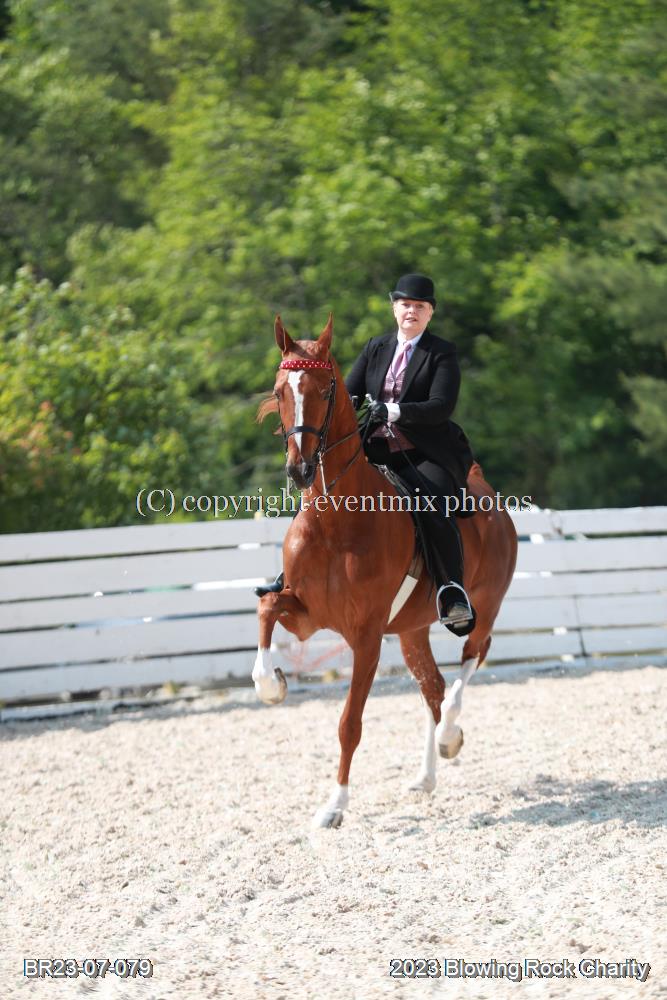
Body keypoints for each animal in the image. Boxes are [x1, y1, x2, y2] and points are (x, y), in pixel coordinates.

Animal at [254, 315, 517, 828]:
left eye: (325, 389)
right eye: (279, 391)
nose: (299, 470)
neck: (335, 518)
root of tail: (484, 486)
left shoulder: (366, 635)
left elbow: (349, 724)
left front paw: (334, 806)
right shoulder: (307, 614)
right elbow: (268, 606)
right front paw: (271, 685)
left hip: (483, 607)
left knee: (469, 663)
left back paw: (450, 736)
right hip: (412, 629)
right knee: (433, 688)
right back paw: (428, 775)